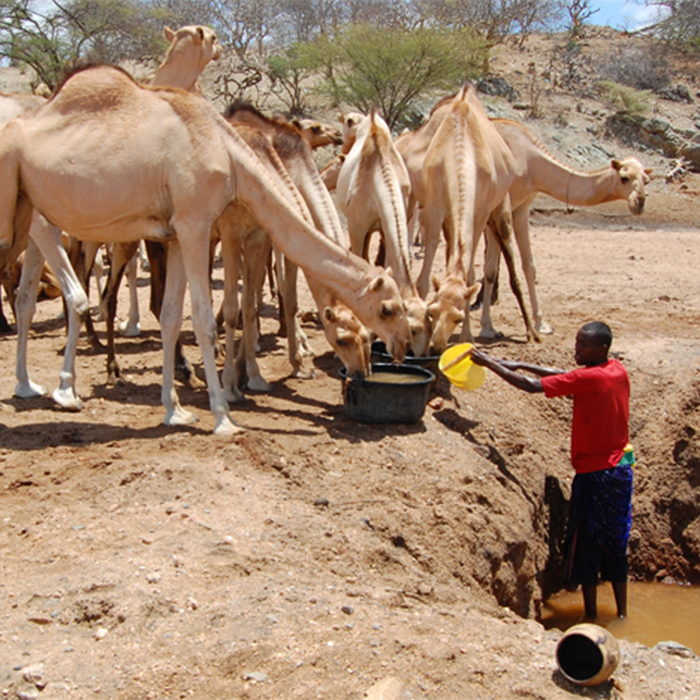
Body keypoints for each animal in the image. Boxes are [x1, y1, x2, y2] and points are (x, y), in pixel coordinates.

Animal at [0, 65, 410, 435]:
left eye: (367, 336)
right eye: (387, 310)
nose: (399, 349)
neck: (234, 156)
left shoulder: (181, 233)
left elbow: (172, 317)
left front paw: (176, 410)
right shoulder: (201, 224)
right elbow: (206, 318)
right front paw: (225, 412)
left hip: (30, 217)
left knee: (28, 292)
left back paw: (30, 384)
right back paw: (68, 389)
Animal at [416, 86, 537, 350]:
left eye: (458, 317)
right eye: (432, 312)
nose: (437, 345)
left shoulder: (480, 210)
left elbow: (471, 274)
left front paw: (466, 336)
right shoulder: (434, 205)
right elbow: (423, 278)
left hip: (499, 209)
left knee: (498, 268)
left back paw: (513, 329)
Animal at [480, 118, 652, 334]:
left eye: (646, 180)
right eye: (624, 177)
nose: (639, 203)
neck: (531, 163)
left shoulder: (521, 208)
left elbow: (529, 266)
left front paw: (542, 324)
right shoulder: (494, 209)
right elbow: (490, 269)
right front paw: (487, 327)